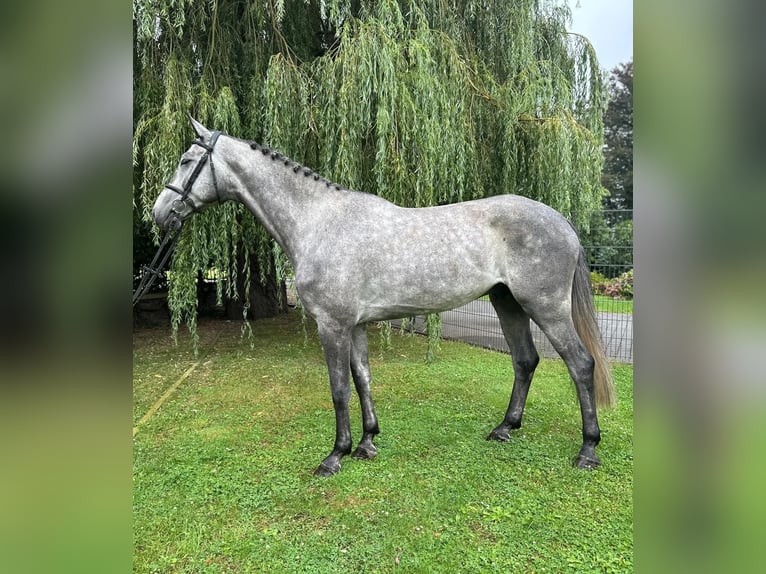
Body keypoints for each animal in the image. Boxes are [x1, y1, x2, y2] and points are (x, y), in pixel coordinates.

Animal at [154, 117, 616, 476]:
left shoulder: (332, 325)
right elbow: (362, 379)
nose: (159, 214)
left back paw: (588, 450)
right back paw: (504, 429)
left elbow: (339, 388)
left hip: (545, 307)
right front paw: (367, 443)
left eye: (186, 161)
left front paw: (335, 456)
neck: (319, 222)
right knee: (525, 360)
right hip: (508, 303)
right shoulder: (355, 325)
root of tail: (563, 222)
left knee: (580, 364)